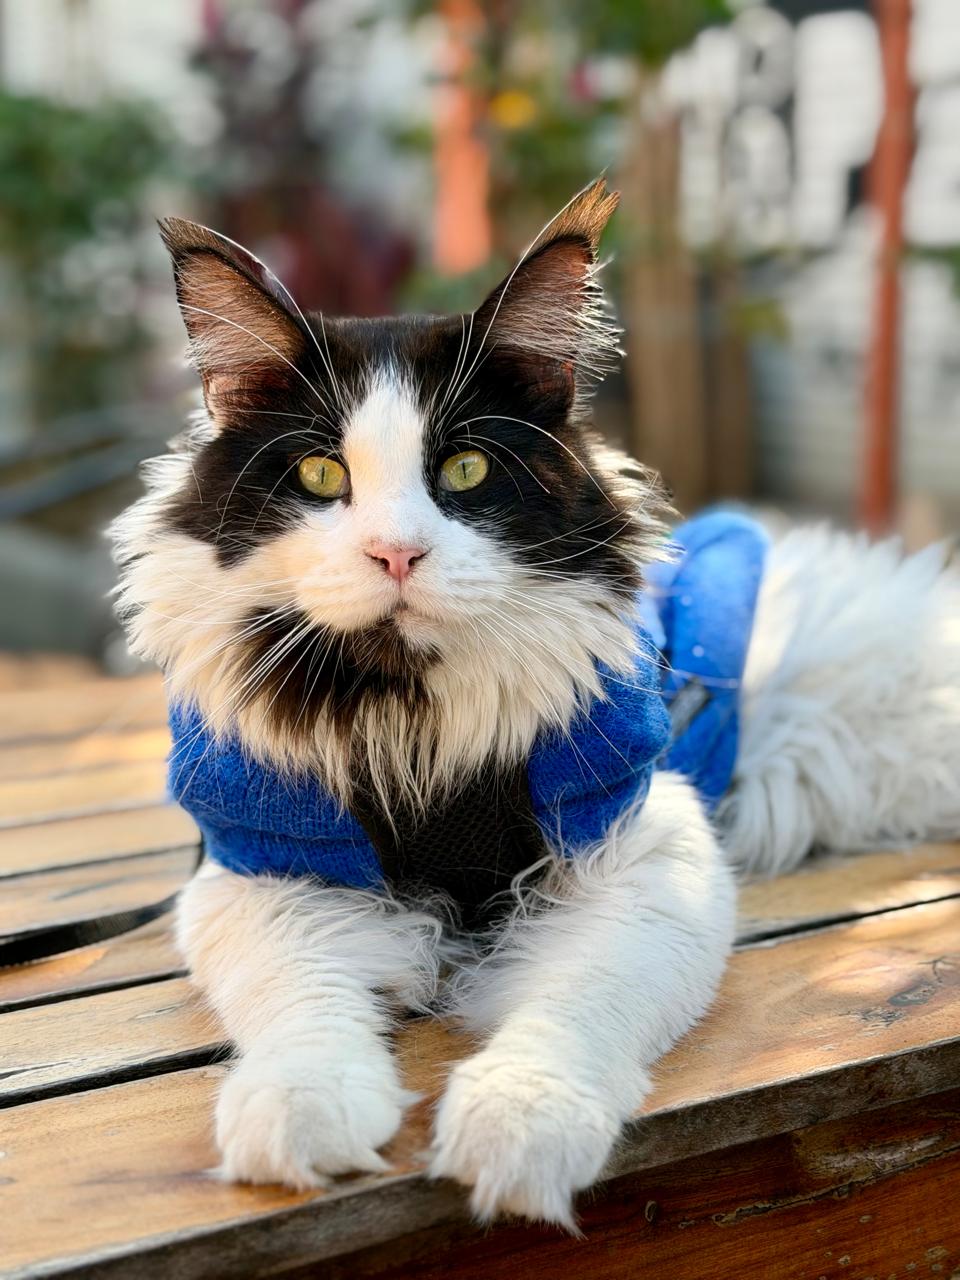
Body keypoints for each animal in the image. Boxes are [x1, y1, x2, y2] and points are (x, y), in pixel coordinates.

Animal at [110, 179, 960, 1228]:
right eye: (320, 475)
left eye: (466, 470)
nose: (396, 554)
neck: (417, 723)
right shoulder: (265, 860)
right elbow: (302, 1004)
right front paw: (300, 1112)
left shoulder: (645, 849)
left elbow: (577, 1004)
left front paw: (521, 1128)